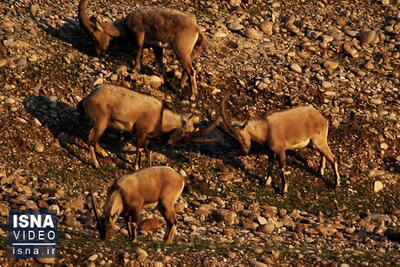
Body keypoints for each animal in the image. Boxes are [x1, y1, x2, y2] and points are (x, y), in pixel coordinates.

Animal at [79, 0, 208, 101]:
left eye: (94, 38)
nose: (98, 53)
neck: (124, 26)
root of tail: (196, 28)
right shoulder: (157, 46)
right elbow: (160, 62)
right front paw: (162, 79)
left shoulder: (139, 33)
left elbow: (138, 50)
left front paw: (135, 69)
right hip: (189, 52)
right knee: (187, 70)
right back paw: (179, 87)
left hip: (181, 50)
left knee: (191, 71)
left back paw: (192, 96)